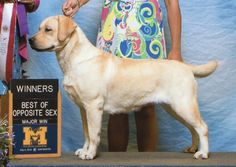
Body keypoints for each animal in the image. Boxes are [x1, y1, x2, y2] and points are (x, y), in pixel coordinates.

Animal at [29, 15, 218, 159]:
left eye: (48, 29)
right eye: (39, 28)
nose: (30, 40)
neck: (74, 59)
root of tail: (186, 67)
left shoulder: (93, 106)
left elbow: (94, 134)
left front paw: (90, 154)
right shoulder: (83, 108)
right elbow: (86, 133)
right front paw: (84, 150)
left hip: (183, 105)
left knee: (202, 127)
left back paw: (203, 153)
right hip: (174, 108)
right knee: (193, 128)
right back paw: (193, 149)